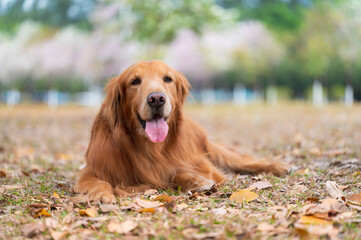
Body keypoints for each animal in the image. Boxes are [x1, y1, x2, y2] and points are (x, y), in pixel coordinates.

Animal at [74, 60, 288, 202]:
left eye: (168, 78)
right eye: (134, 81)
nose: (156, 99)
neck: (150, 148)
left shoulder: (198, 162)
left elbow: (178, 172)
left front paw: (197, 181)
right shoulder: (92, 170)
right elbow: (98, 182)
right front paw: (101, 194)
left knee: (245, 161)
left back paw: (278, 166)